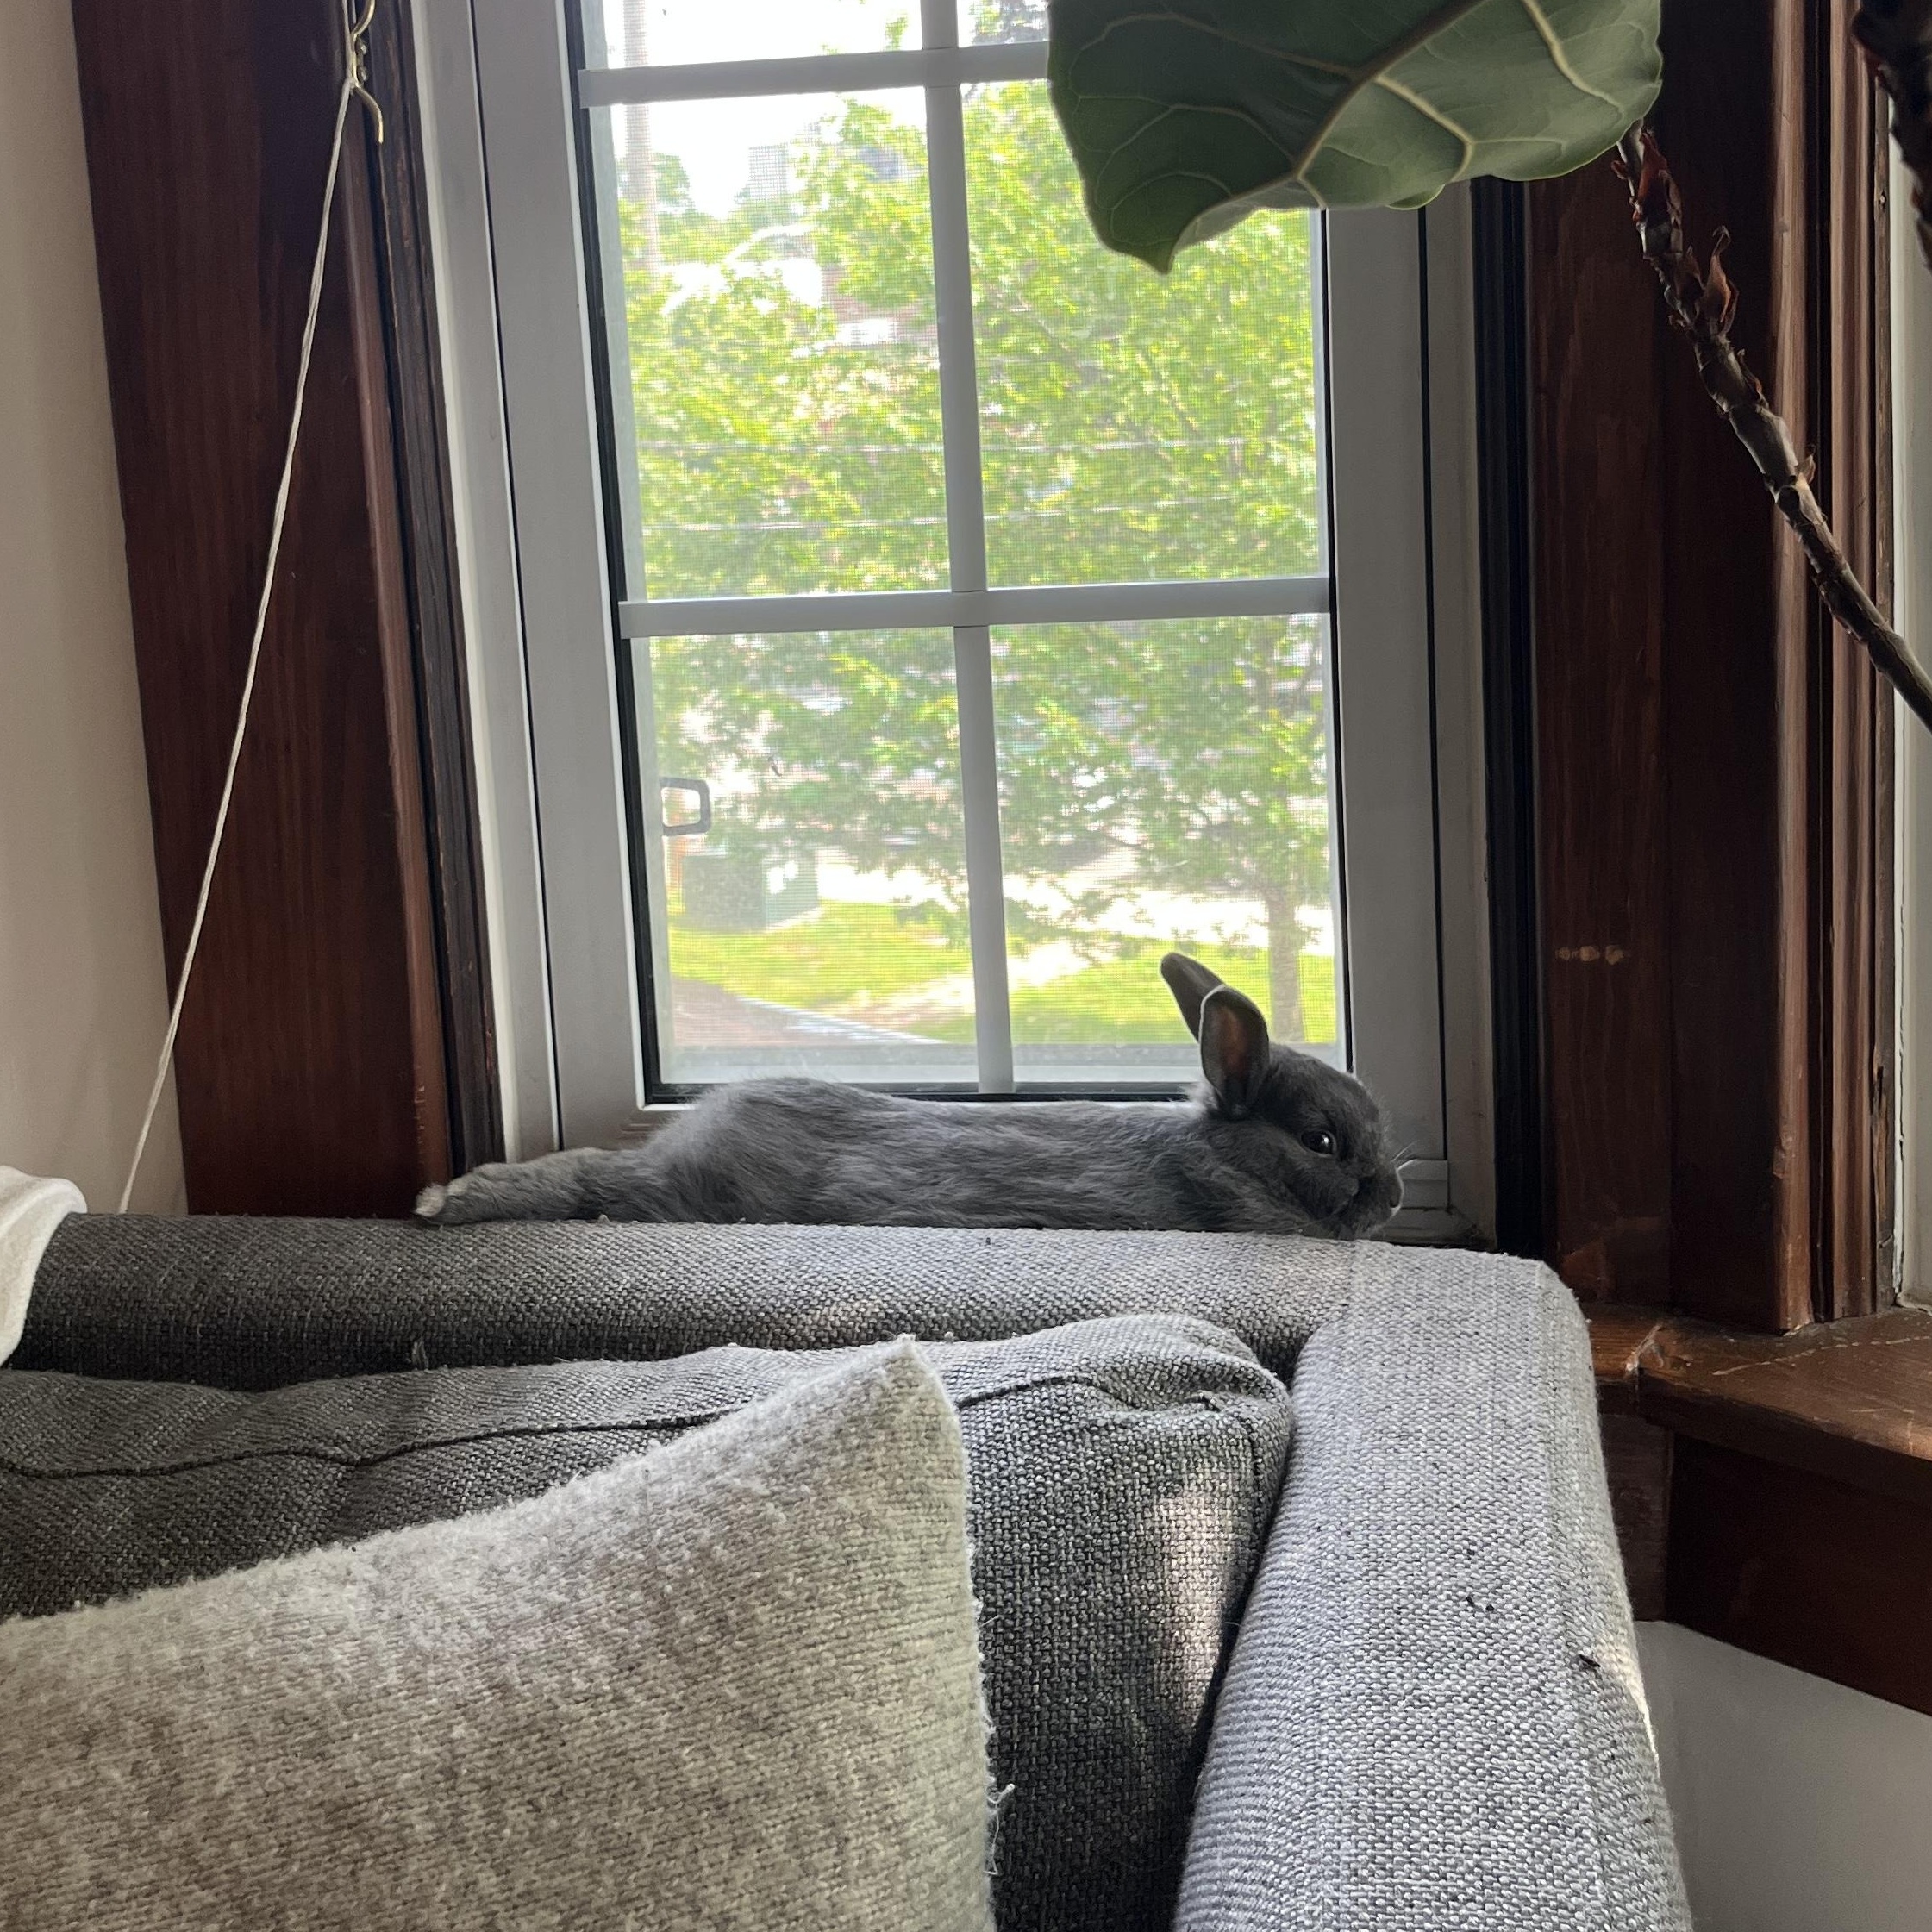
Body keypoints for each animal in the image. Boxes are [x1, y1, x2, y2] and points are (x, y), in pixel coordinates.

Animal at [416, 951, 1402, 1237]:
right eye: (1321, 1141)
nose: (1392, 1194)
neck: (1221, 1160)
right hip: (682, 1197)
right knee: (595, 1181)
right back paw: (445, 1199)